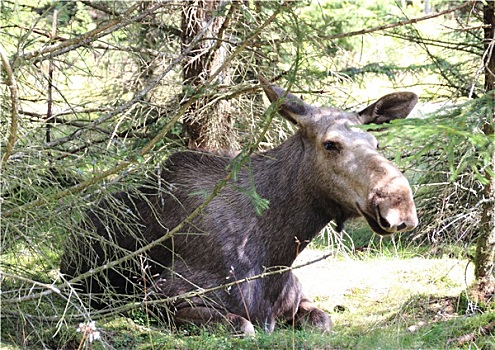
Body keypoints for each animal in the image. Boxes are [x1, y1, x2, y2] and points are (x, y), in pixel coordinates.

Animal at [60, 76, 420, 334]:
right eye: (330, 144)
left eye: (376, 142)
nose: (399, 205)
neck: (277, 251)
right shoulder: (160, 298)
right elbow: (243, 325)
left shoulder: (300, 297)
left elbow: (322, 320)